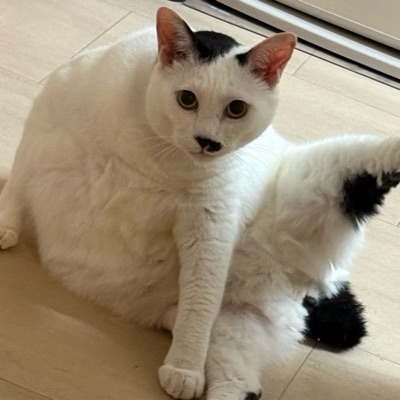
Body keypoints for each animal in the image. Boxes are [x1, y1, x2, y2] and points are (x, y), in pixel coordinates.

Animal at [0, 6, 296, 399]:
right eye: (187, 99)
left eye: (237, 109)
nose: (207, 141)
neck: (160, 158)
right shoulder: (55, 98)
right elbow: (19, 176)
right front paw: (5, 223)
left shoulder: (211, 222)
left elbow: (201, 300)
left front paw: (185, 367)